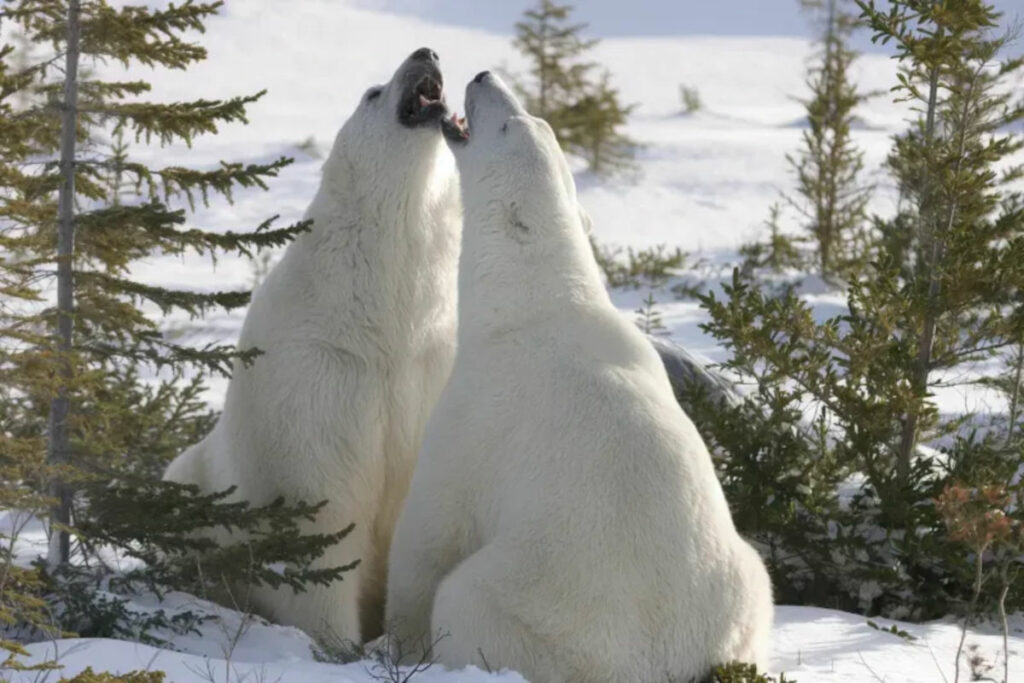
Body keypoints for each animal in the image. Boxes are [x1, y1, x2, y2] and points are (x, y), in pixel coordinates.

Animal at [163, 47, 461, 646]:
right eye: (372, 93)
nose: (427, 52)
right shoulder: (317, 371)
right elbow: (323, 513)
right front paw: (338, 643)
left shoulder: (430, 366)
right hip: (189, 484)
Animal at [384, 71, 773, 683]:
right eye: (533, 118)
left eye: (509, 122)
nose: (483, 76)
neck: (539, 304)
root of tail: (659, 661)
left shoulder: (476, 410)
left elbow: (429, 531)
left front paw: (390, 643)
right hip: (744, 588)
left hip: (539, 611)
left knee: (464, 599)